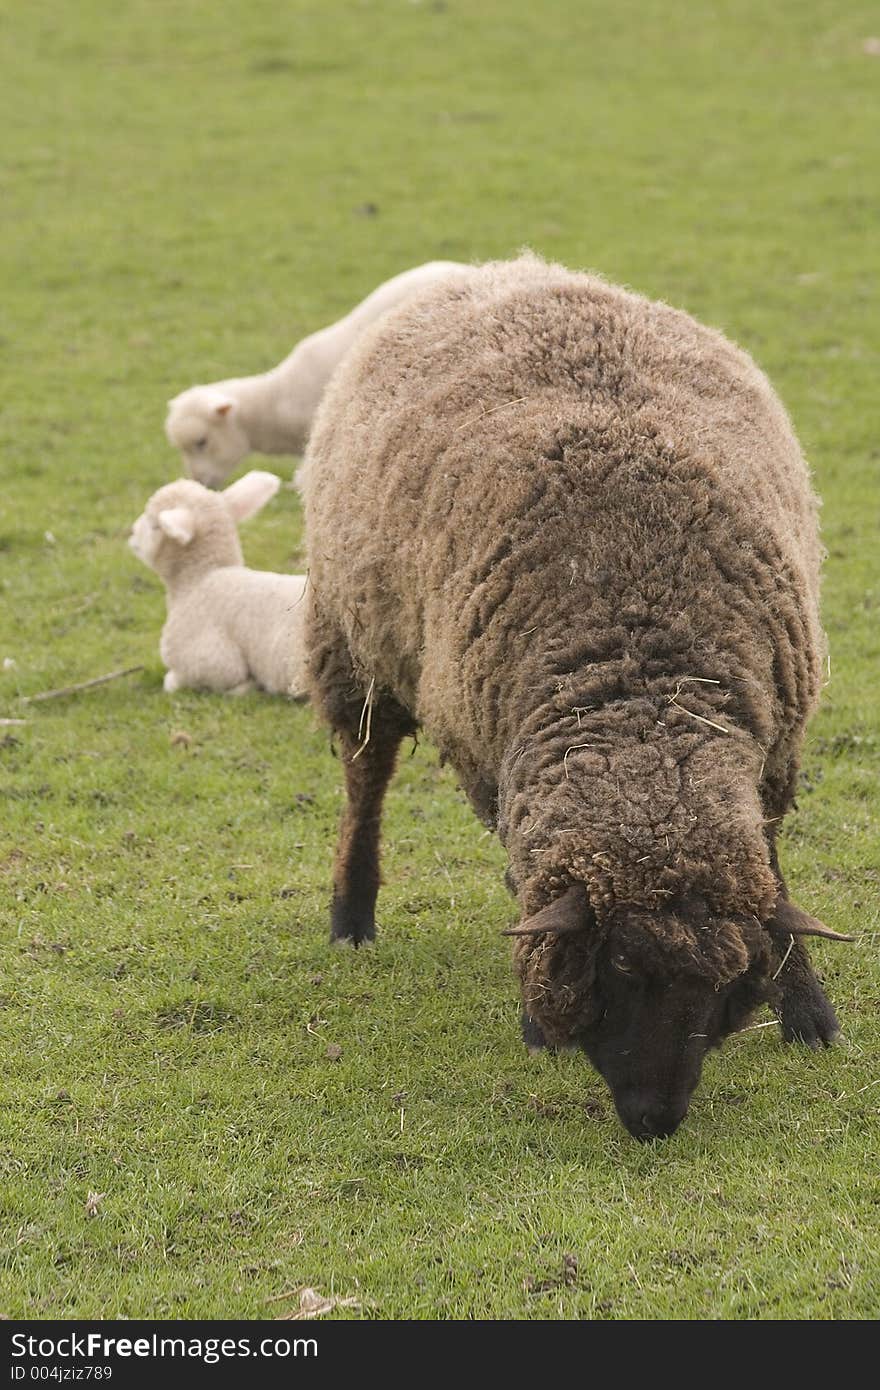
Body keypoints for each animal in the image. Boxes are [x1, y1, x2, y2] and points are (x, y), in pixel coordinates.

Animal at [301, 250, 850, 1139]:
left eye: (722, 983)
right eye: (617, 965)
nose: (655, 1120)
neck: (645, 698)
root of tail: (508, 266)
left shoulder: (773, 756)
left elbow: (774, 883)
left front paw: (808, 1013)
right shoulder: (495, 751)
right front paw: (535, 1023)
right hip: (355, 643)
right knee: (366, 774)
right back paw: (351, 917)